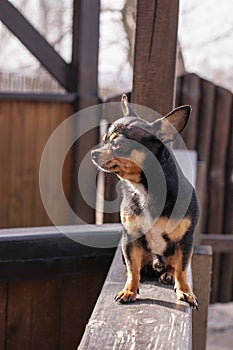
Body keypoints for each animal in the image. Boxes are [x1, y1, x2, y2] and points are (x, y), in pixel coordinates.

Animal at [91, 93, 198, 308]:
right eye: (104, 140)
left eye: (117, 145)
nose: (93, 153)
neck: (145, 190)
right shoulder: (131, 238)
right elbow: (133, 269)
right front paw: (129, 291)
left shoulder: (185, 241)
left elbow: (182, 269)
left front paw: (185, 291)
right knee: (134, 266)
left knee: (174, 265)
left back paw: (168, 275)